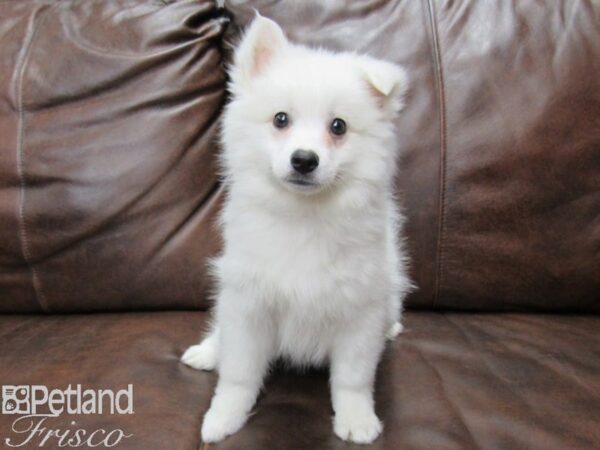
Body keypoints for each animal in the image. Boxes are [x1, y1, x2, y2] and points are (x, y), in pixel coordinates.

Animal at [180, 14, 410, 446]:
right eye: (280, 119)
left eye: (338, 126)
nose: (304, 159)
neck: (304, 216)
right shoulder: (249, 304)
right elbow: (238, 374)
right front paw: (223, 417)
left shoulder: (360, 311)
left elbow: (353, 378)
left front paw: (357, 420)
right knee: (221, 332)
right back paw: (208, 350)